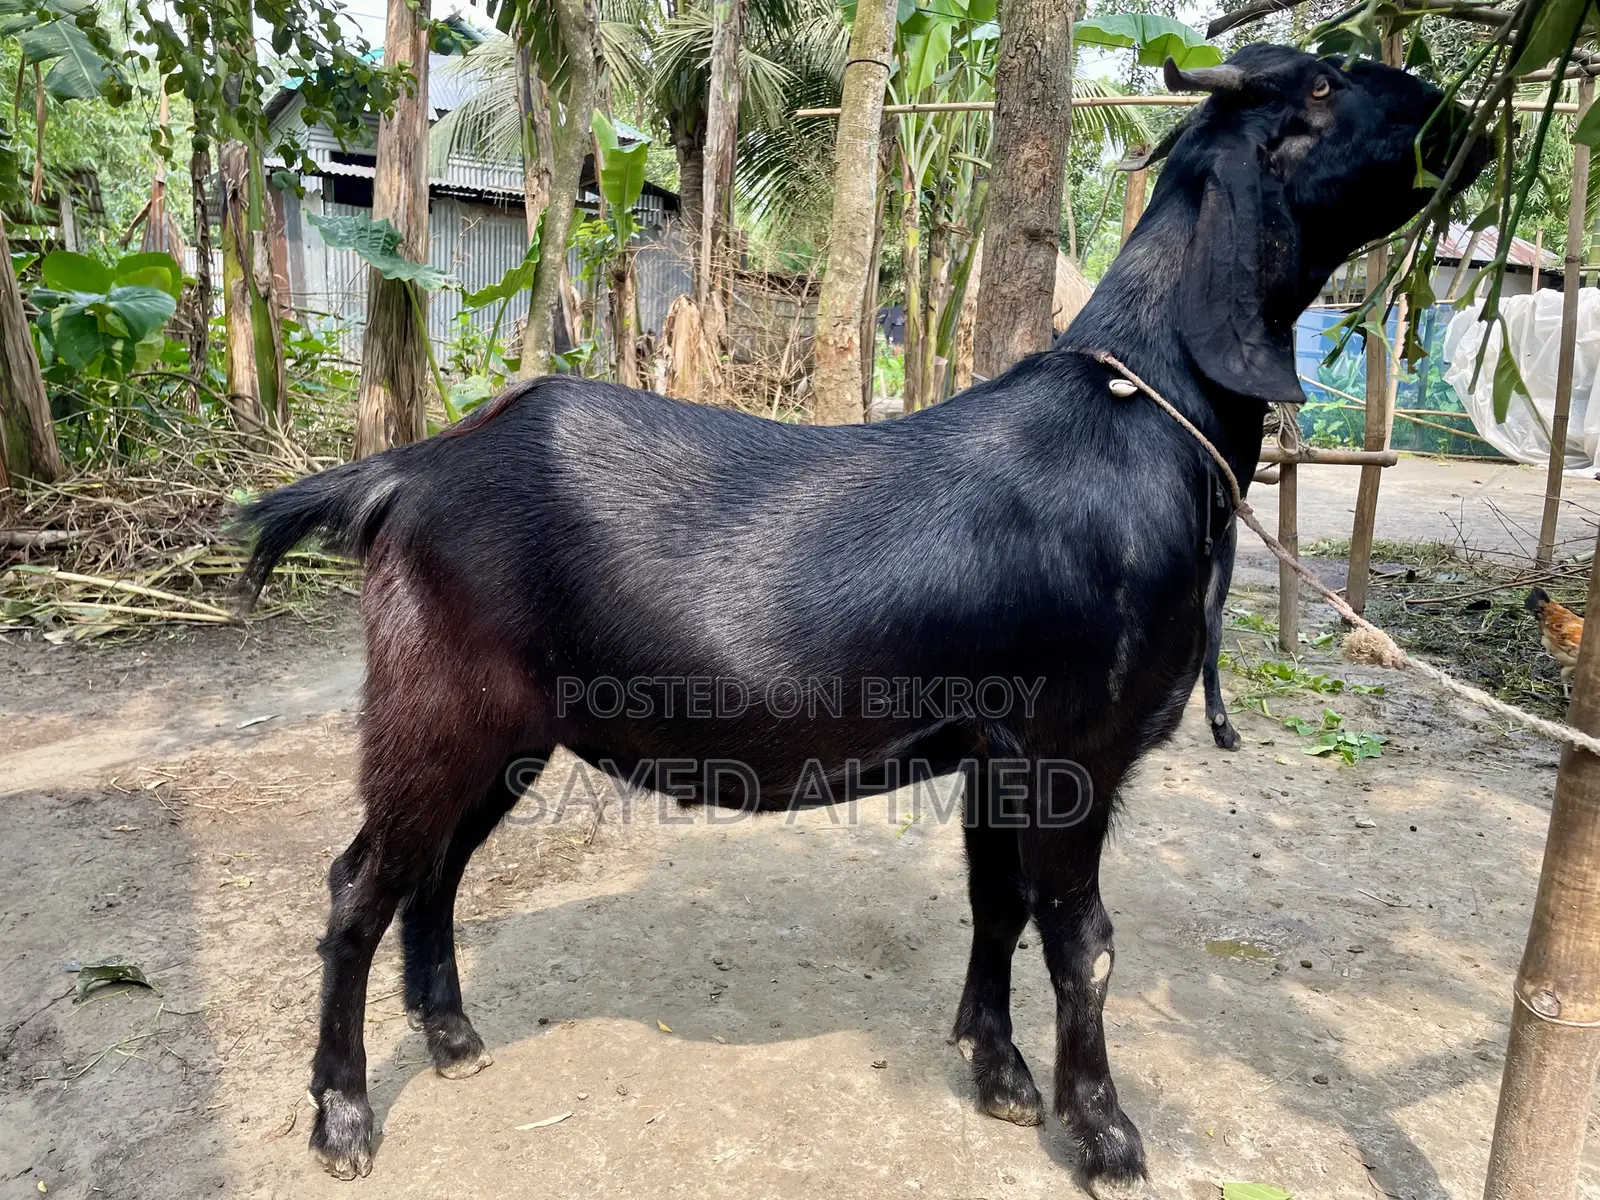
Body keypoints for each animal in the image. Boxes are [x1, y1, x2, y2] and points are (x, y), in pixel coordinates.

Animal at [237, 45, 1481, 1189]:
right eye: (1321, 87)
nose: (1459, 116)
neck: (1143, 407)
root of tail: (399, 474)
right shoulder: (1076, 743)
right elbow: (1081, 941)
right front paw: (1106, 1135)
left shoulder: (997, 746)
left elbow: (996, 904)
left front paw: (997, 1072)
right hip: (435, 703)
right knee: (360, 884)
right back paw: (342, 1119)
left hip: (512, 730)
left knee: (436, 869)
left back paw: (451, 1036)